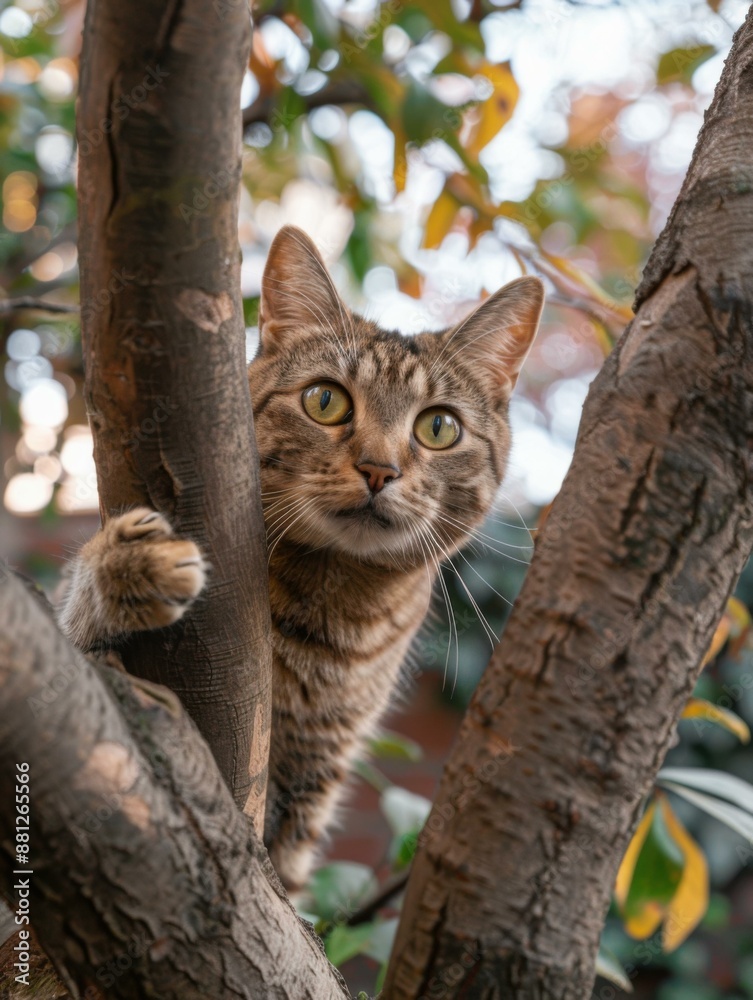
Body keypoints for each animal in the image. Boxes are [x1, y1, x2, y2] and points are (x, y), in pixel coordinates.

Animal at [57, 229, 540, 892]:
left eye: (439, 427)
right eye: (325, 400)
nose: (379, 469)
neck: (329, 613)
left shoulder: (314, 780)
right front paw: (128, 564)